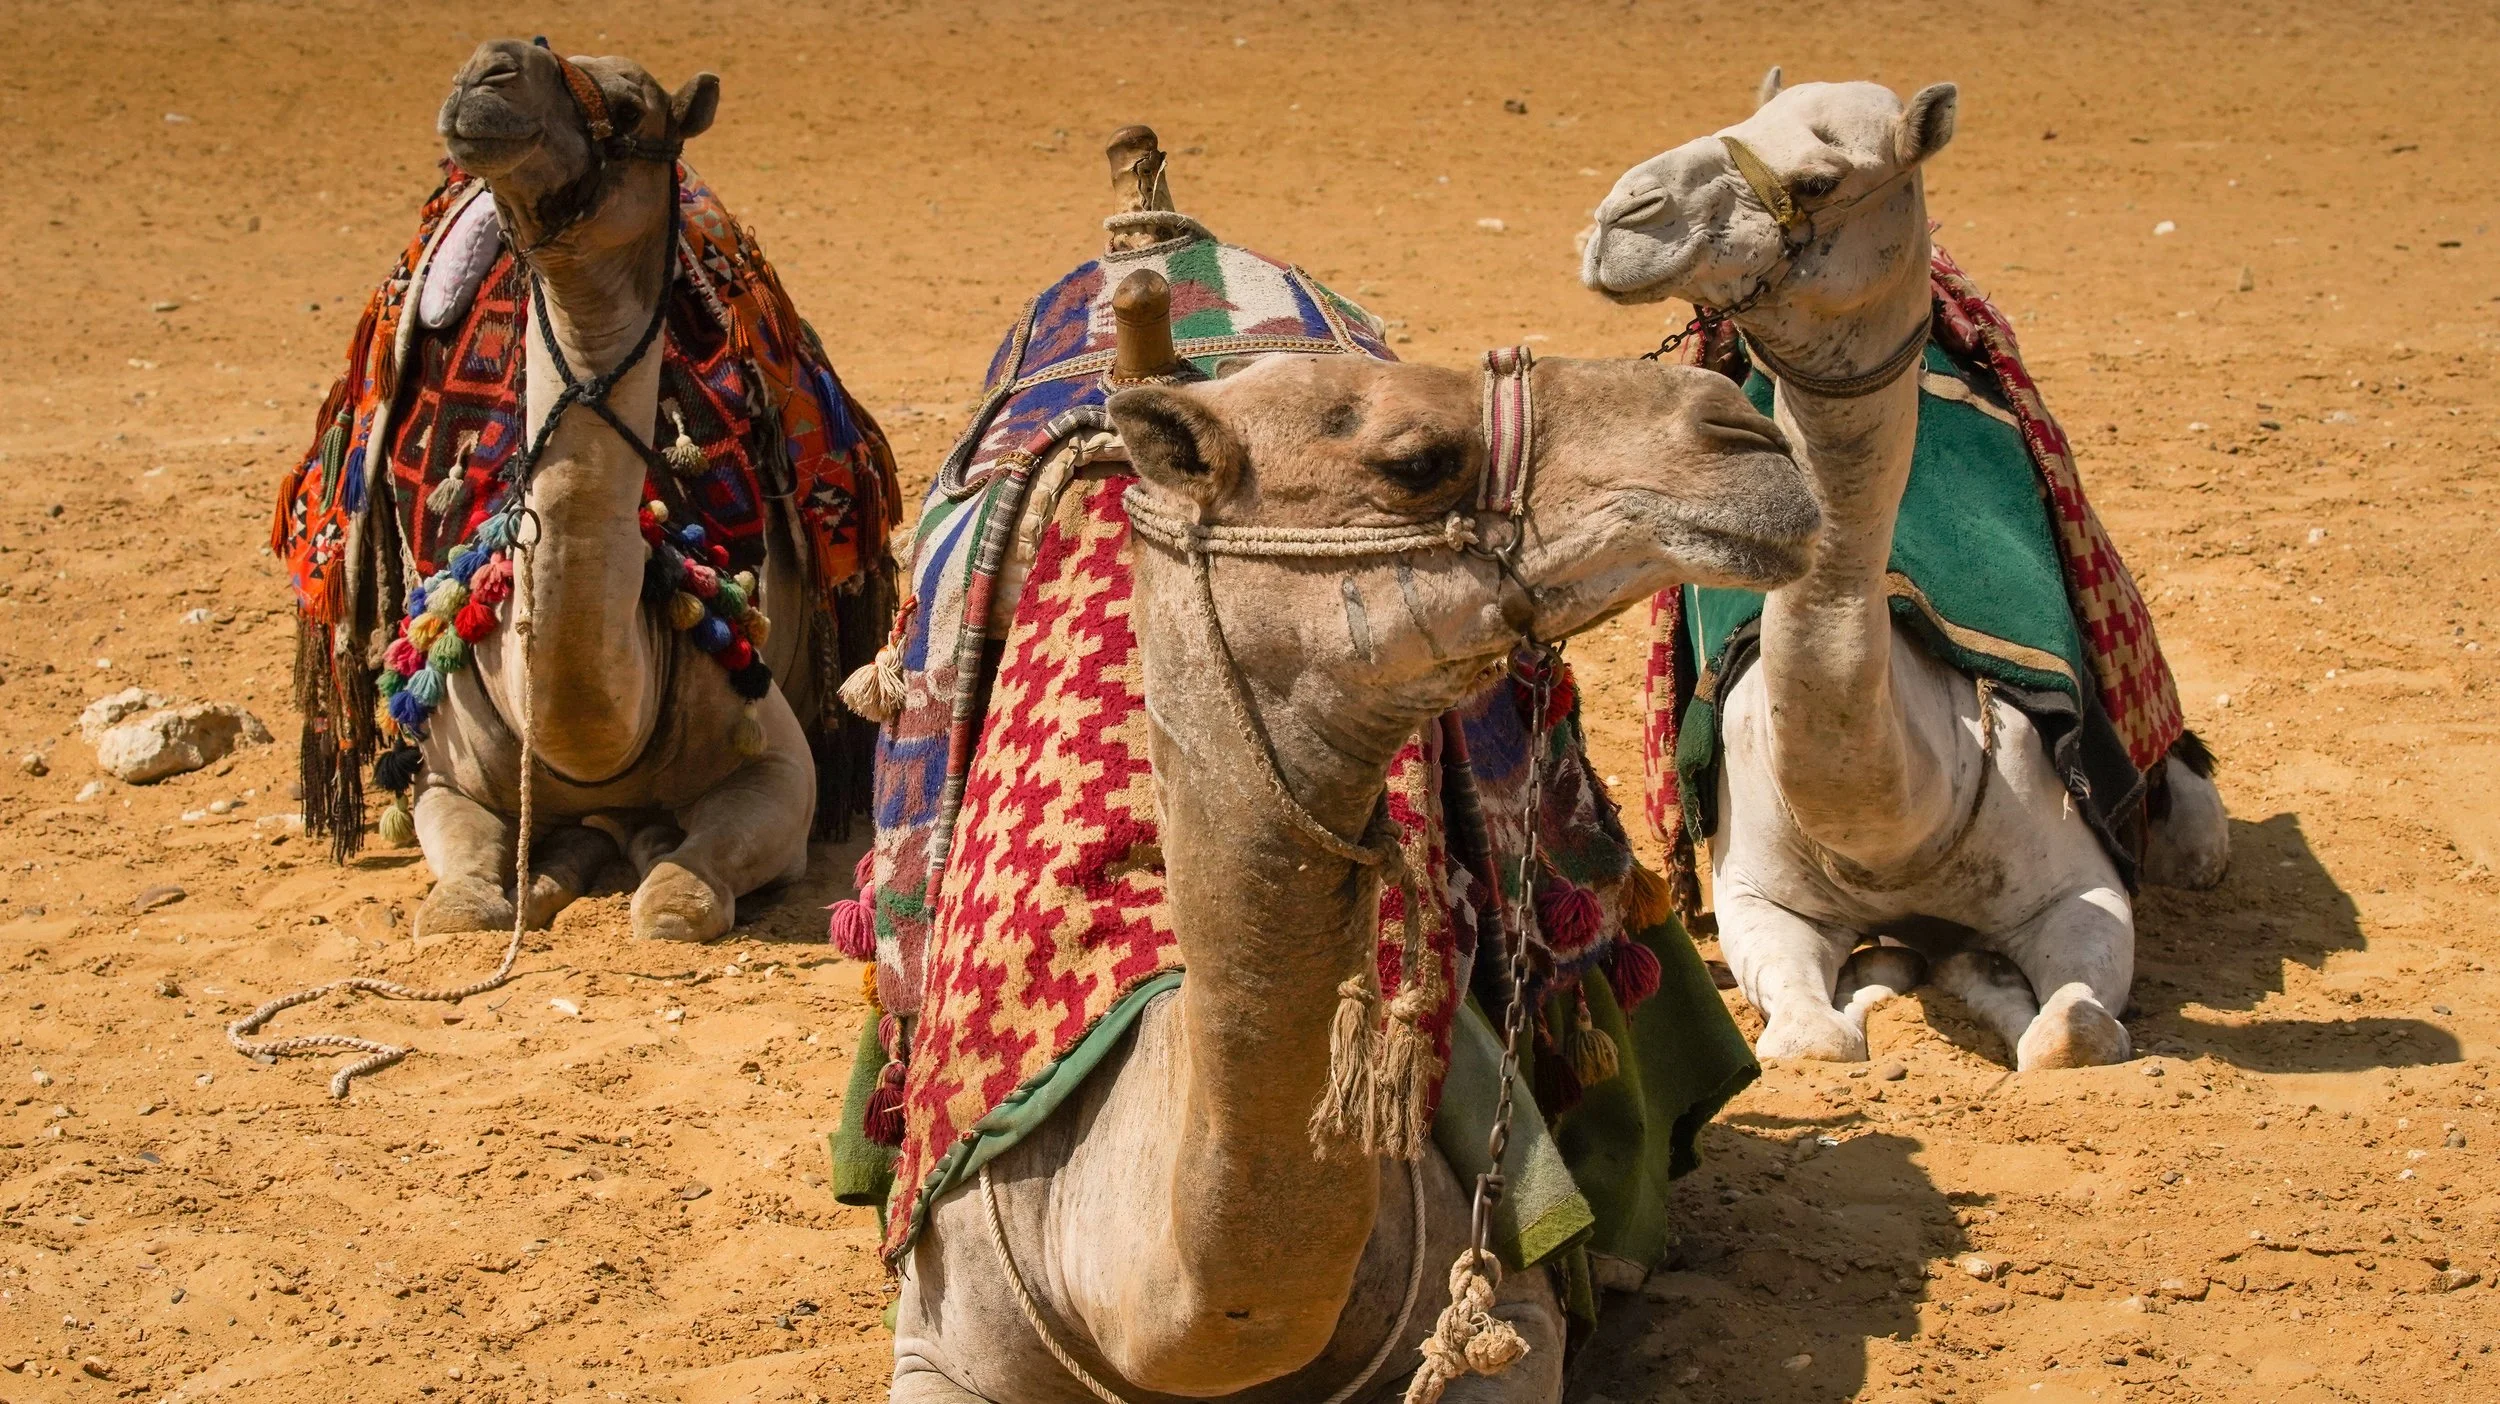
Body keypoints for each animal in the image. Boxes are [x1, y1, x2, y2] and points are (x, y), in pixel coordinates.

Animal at [410, 40, 824, 942]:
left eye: (632, 107)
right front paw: (503, 890)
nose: (485, 73)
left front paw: (660, 872)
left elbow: (681, 899)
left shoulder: (778, 757)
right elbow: (458, 899)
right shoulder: (440, 775)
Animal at [1578, 73, 2231, 1070]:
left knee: (2198, 842)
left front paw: (1971, 969)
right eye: (1738, 121)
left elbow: (2070, 1033)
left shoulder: (2086, 892)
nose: (1624, 214)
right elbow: (1811, 1041)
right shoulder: (1755, 897)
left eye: (1818, 179)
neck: (1904, 826)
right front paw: (1893, 969)